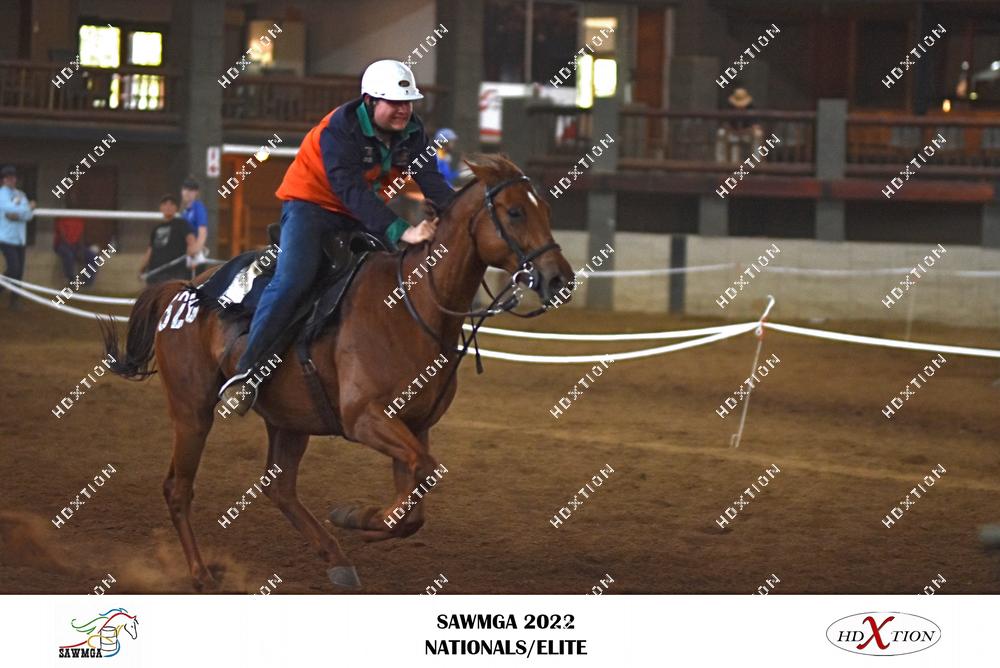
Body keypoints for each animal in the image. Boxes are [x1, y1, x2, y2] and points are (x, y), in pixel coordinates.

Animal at [100, 154, 575, 591]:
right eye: (515, 211)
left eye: (547, 211)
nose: (560, 279)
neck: (412, 306)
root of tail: (183, 289)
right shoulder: (365, 417)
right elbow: (422, 478)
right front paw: (357, 515)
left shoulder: (413, 426)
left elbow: (416, 497)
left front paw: (360, 519)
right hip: (192, 410)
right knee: (178, 488)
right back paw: (201, 574)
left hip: (289, 420)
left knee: (279, 488)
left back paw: (335, 558)